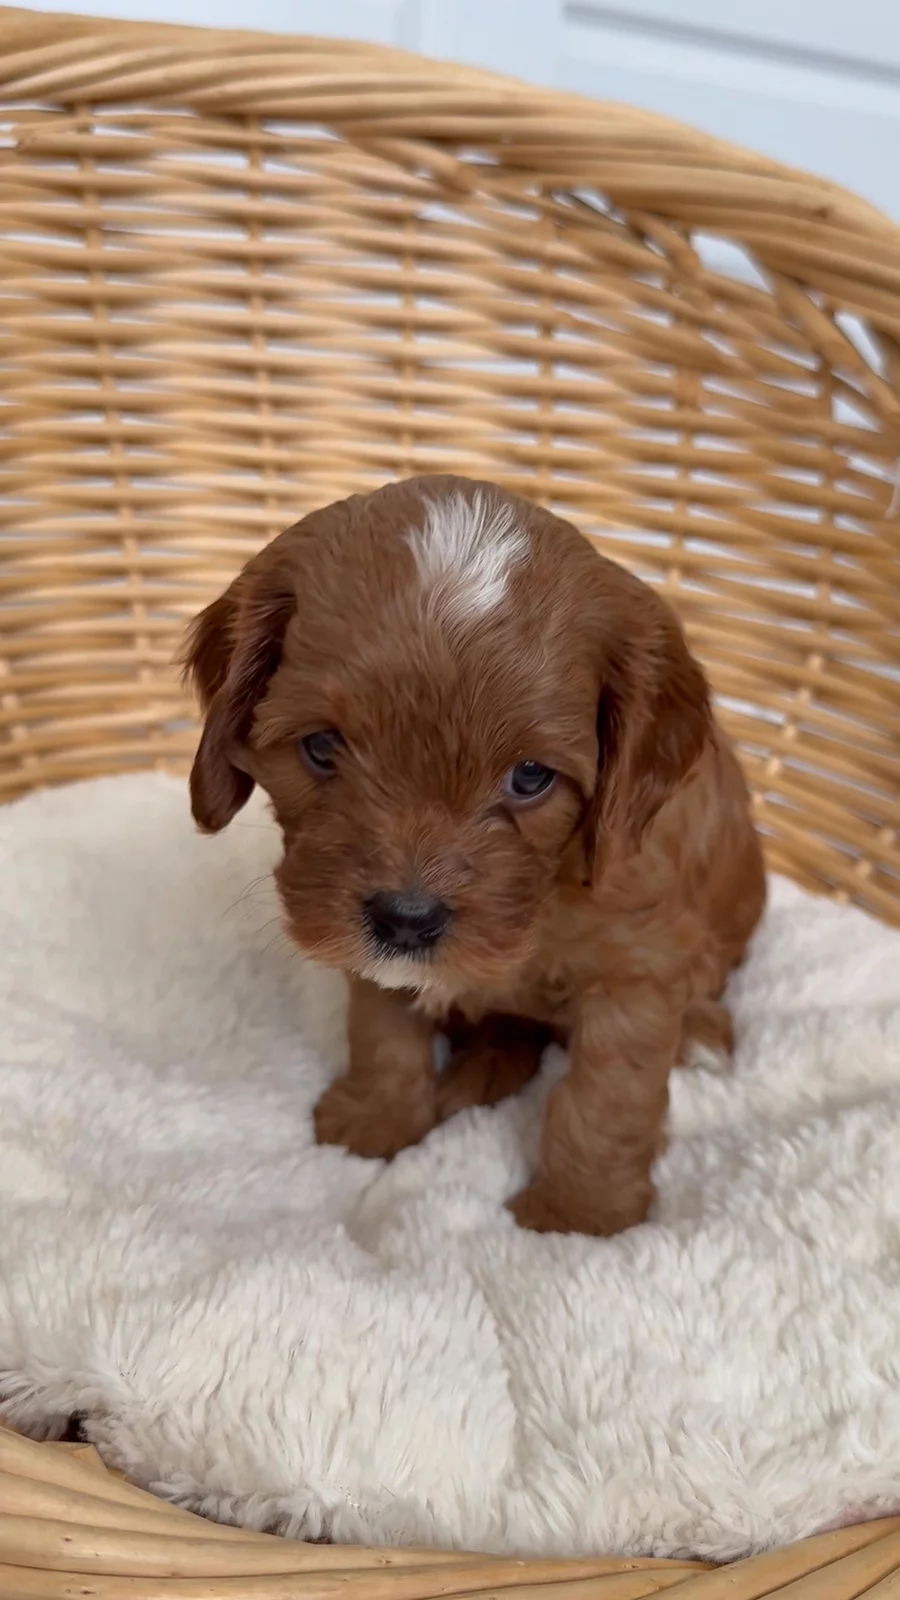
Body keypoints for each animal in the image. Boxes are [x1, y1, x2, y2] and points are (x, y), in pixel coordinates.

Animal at [185, 474, 765, 1236]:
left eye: (530, 777)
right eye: (320, 746)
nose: (406, 920)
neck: (542, 903)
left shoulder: (636, 966)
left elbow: (607, 1095)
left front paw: (579, 1215)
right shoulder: (378, 957)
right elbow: (381, 1030)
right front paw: (377, 1121)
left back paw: (696, 1036)